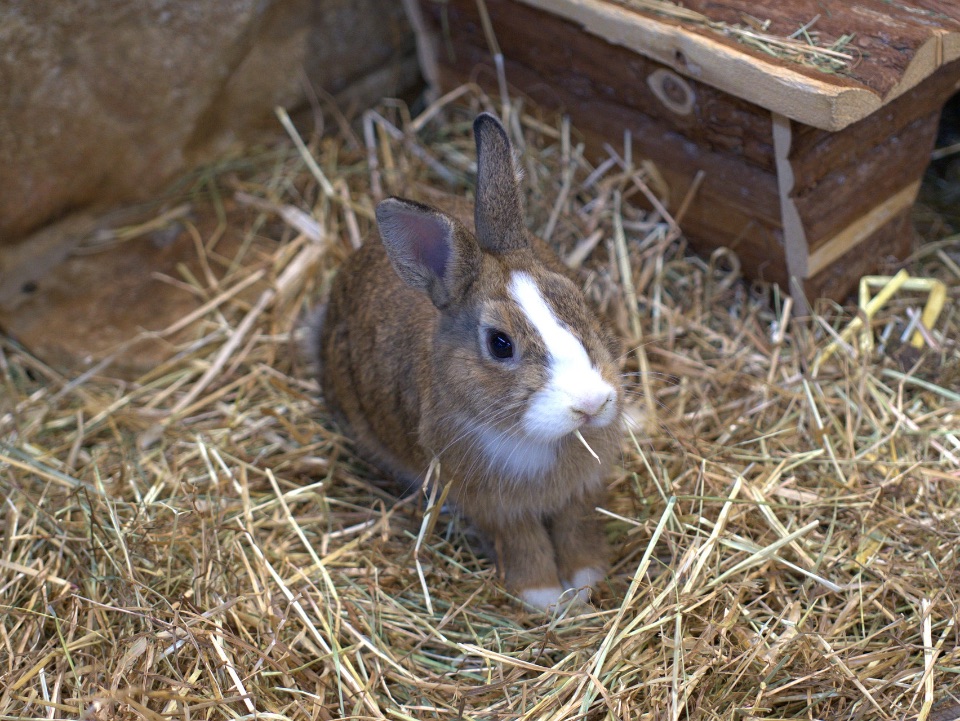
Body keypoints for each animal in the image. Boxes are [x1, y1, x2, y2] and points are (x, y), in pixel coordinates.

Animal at [316, 112, 624, 608]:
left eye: (578, 299)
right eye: (500, 344)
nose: (592, 404)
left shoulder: (578, 494)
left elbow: (575, 529)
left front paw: (585, 581)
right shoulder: (495, 508)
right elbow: (524, 543)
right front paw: (544, 596)